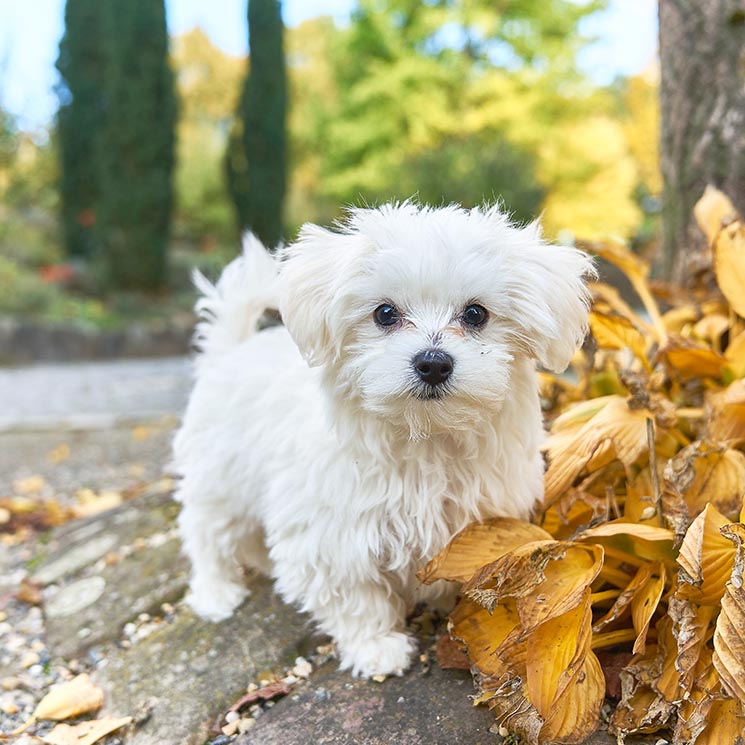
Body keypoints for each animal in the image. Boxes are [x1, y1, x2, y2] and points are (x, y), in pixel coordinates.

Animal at [173, 201, 592, 676]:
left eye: (476, 314)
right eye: (385, 314)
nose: (433, 363)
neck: (425, 438)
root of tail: (230, 351)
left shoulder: (478, 521)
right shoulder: (333, 535)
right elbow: (355, 595)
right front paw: (376, 647)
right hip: (219, 480)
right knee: (206, 533)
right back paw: (216, 593)